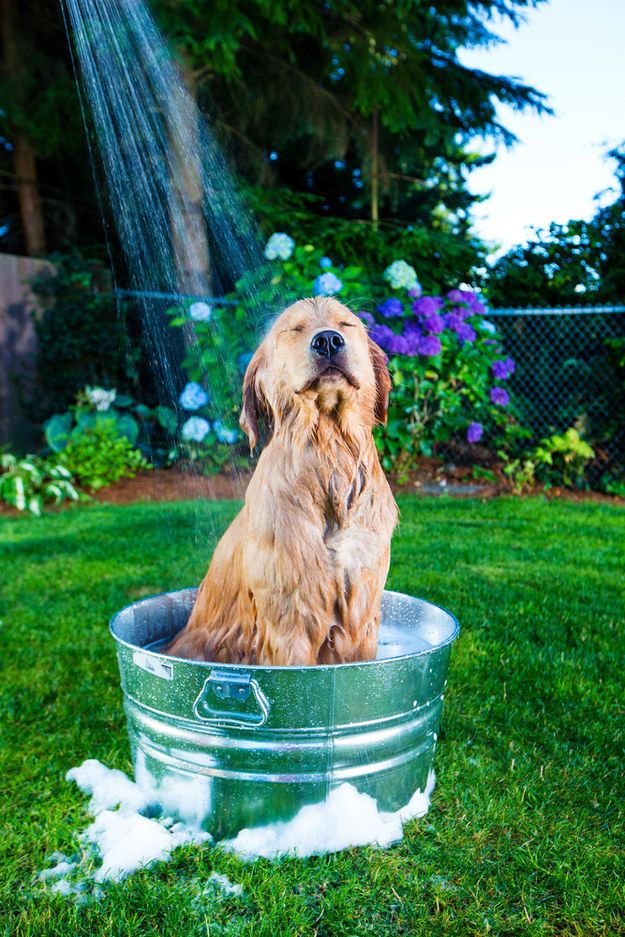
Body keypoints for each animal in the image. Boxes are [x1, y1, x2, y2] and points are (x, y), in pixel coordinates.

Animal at [166, 296, 398, 660]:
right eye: (294, 329)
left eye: (346, 324)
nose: (328, 341)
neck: (330, 461)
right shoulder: (290, 619)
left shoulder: (361, 608)